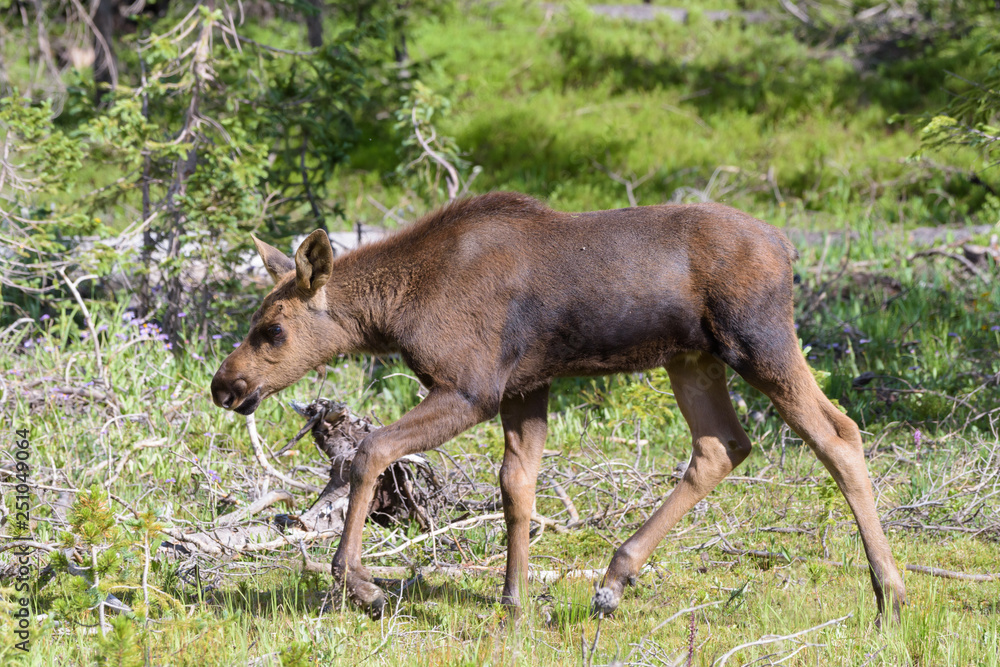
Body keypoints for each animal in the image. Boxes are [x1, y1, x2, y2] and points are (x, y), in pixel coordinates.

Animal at [211, 190, 908, 624]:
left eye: (272, 330)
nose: (225, 385)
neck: (394, 313)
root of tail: (789, 248)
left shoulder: (472, 386)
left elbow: (369, 450)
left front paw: (361, 584)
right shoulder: (525, 386)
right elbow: (517, 485)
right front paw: (513, 600)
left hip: (759, 340)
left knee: (839, 433)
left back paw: (890, 594)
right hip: (692, 358)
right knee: (721, 446)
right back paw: (614, 579)